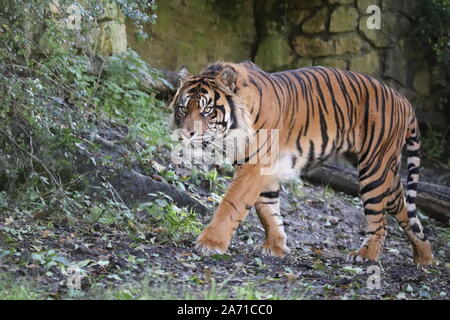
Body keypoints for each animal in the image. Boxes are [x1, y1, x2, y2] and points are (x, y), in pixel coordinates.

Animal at [168, 60, 432, 264]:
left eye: (207, 111)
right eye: (183, 108)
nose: (186, 134)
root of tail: (404, 100)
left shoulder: (255, 166)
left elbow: (231, 205)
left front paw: (210, 243)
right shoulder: (265, 168)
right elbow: (268, 209)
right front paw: (275, 246)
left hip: (374, 170)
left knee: (381, 221)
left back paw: (365, 256)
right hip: (384, 172)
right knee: (404, 209)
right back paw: (425, 258)